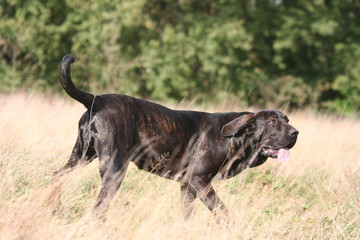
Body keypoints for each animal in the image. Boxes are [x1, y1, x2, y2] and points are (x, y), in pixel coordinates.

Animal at [55, 54, 298, 221]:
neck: (232, 138)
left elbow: (187, 214)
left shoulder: (187, 187)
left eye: (287, 119)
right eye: (272, 122)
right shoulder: (199, 181)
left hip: (81, 155)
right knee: (99, 206)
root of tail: (96, 99)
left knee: (58, 176)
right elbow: (222, 210)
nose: (295, 133)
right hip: (114, 169)